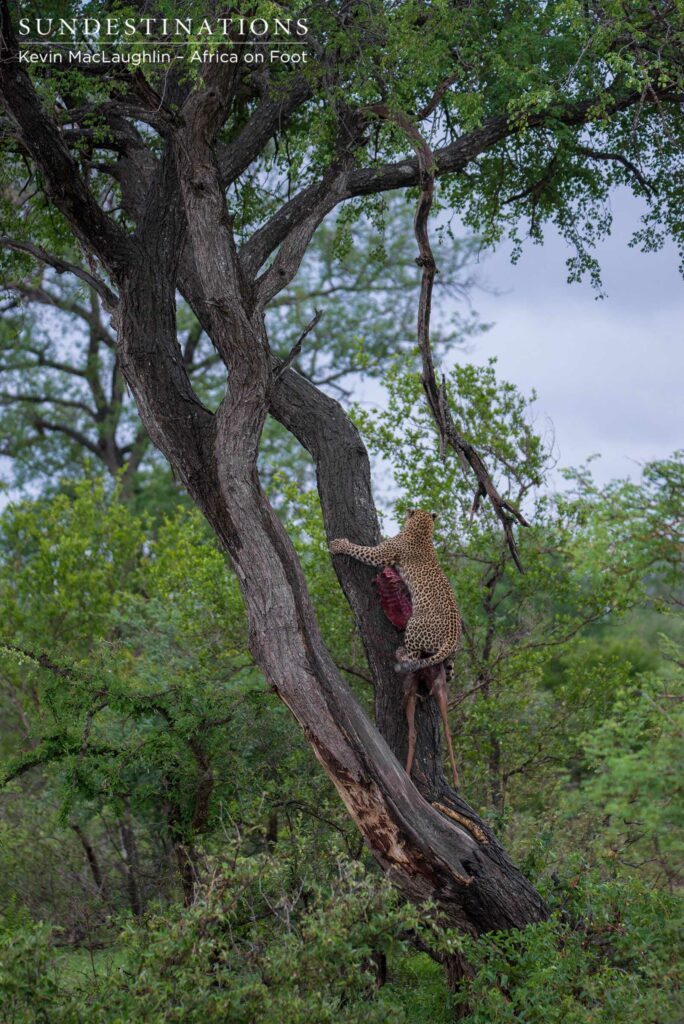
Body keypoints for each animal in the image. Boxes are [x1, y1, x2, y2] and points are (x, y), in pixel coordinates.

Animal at [329, 508, 462, 675]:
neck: (423, 532)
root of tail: (451, 640)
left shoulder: (380, 554)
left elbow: (358, 549)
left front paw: (338, 545)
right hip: (450, 657)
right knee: (449, 671)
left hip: (414, 625)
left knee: (413, 659)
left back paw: (401, 653)